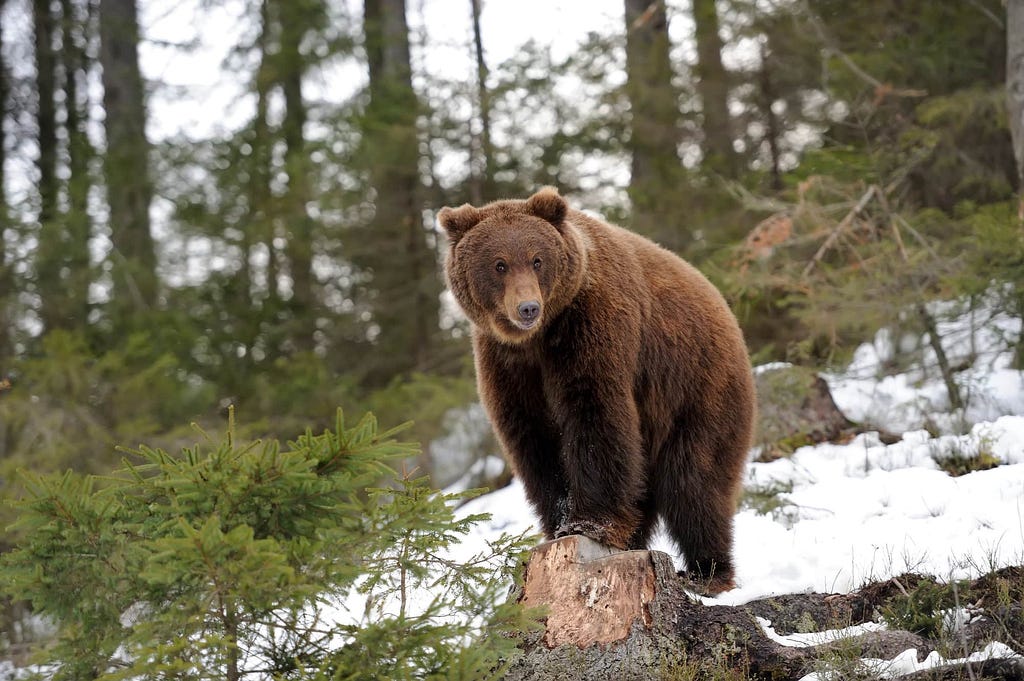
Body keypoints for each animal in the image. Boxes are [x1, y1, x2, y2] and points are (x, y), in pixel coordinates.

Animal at [436, 186, 757, 589]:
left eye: (537, 259)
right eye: (499, 264)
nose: (528, 308)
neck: (540, 338)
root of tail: (730, 316)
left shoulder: (593, 324)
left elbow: (593, 413)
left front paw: (589, 523)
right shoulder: (506, 362)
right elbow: (533, 436)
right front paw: (559, 522)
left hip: (699, 387)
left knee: (695, 482)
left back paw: (707, 571)